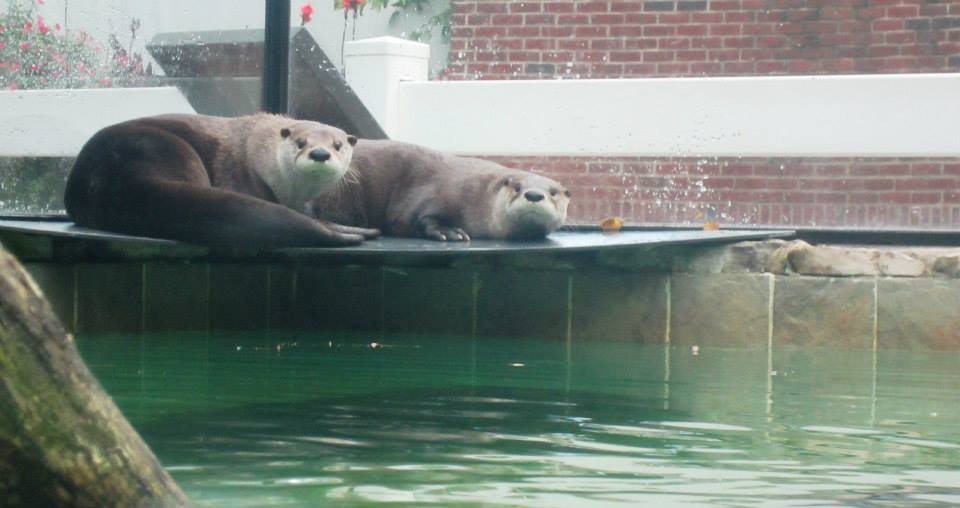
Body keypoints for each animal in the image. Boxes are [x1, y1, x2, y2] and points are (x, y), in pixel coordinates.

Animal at [309, 140, 570, 241]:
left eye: (554, 192)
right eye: (517, 187)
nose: (534, 194)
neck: (477, 196)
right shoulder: (435, 196)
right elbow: (423, 218)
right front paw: (451, 232)